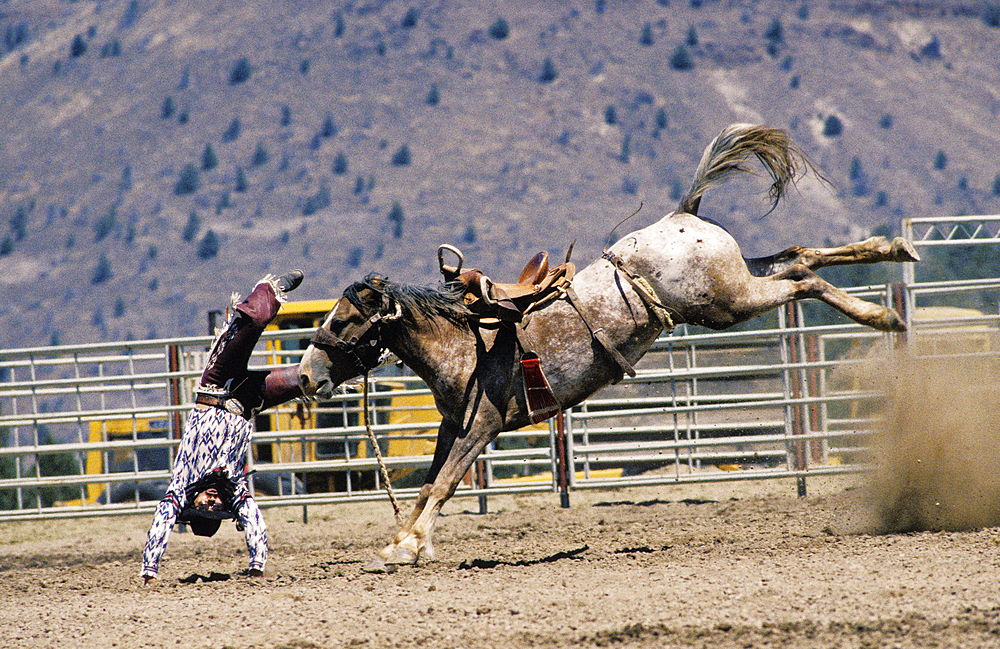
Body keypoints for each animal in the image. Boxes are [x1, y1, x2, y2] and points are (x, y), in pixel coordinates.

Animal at [298, 124, 920, 568]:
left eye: (346, 320)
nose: (304, 376)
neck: (463, 342)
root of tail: (681, 214)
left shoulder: (482, 427)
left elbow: (447, 481)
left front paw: (408, 545)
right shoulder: (453, 426)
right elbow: (430, 481)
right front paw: (405, 540)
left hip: (729, 303)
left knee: (803, 278)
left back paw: (884, 312)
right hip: (734, 284)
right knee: (800, 257)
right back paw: (891, 252)